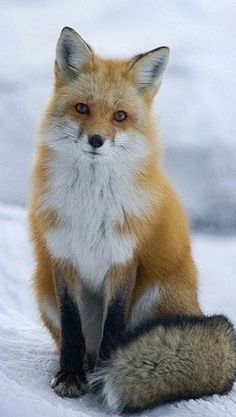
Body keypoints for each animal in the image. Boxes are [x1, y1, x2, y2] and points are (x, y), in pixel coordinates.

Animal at [28, 26, 235, 412]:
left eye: (120, 116)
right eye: (82, 108)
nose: (95, 140)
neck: (90, 205)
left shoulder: (124, 261)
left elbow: (114, 325)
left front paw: (105, 377)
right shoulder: (63, 259)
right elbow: (72, 326)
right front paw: (70, 376)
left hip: (155, 293)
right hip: (43, 288)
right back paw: (81, 367)